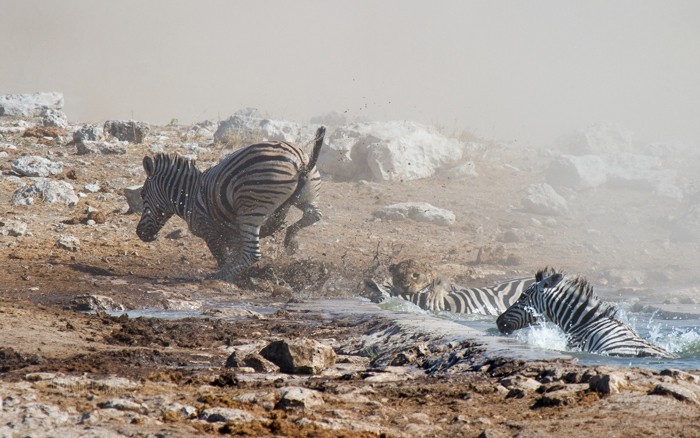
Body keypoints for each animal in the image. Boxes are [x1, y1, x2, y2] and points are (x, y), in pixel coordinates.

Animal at [137, 126, 328, 280]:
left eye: (142, 194)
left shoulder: (210, 230)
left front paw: (231, 272)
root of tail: (299, 161)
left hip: (251, 209)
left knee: (253, 253)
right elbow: (234, 254)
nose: (139, 233)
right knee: (314, 215)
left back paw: (222, 276)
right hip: (307, 195)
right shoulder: (233, 236)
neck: (189, 195)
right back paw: (290, 240)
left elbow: (221, 256)